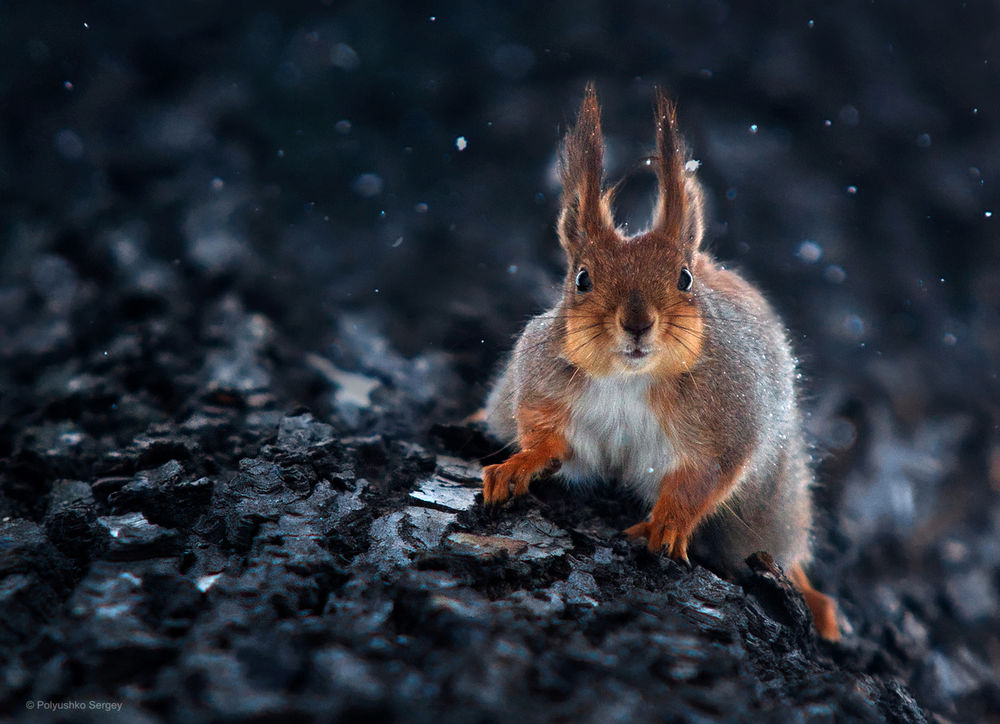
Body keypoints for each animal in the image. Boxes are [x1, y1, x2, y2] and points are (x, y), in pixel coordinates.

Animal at [480, 83, 840, 640]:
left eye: (684, 279)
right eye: (581, 278)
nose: (636, 323)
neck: (631, 378)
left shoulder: (727, 417)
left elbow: (704, 477)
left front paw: (668, 520)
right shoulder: (544, 383)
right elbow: (548, 439)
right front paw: (519, 463)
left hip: (771, 503)